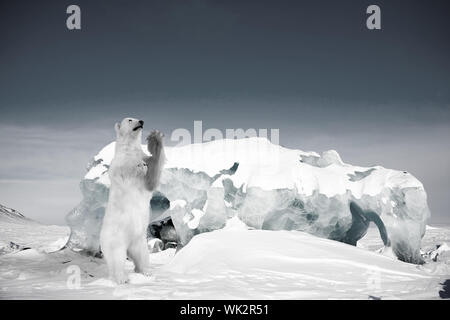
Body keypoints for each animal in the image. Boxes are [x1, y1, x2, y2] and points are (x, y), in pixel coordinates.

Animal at [100, 117, 165, 282]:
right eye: (130, 119)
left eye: (137, 117)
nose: (141, 121)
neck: (130, 149)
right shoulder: (118, 164)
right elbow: (124, 171)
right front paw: (139, 166)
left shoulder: (143, 158)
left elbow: (152, 175)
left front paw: (156, 137)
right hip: (115, 239)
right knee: (117, 258)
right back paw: (121, 278)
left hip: (140, 242)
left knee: (142, 256)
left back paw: (146, 272)